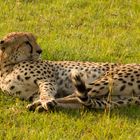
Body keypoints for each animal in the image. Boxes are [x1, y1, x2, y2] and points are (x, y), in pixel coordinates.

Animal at [0, 31, 139, 111]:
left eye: (34, 40)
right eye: (26, 42)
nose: (40, 51)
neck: (7, 67)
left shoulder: (47, 80)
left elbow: (46, 92)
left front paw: (46, 100)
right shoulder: (32, 93)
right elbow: (42, 94)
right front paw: (45, 102)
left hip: (108, 79)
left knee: (74, 96)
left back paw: (41, 105)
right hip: (113, 97)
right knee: (81, 102)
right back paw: (41, 106)